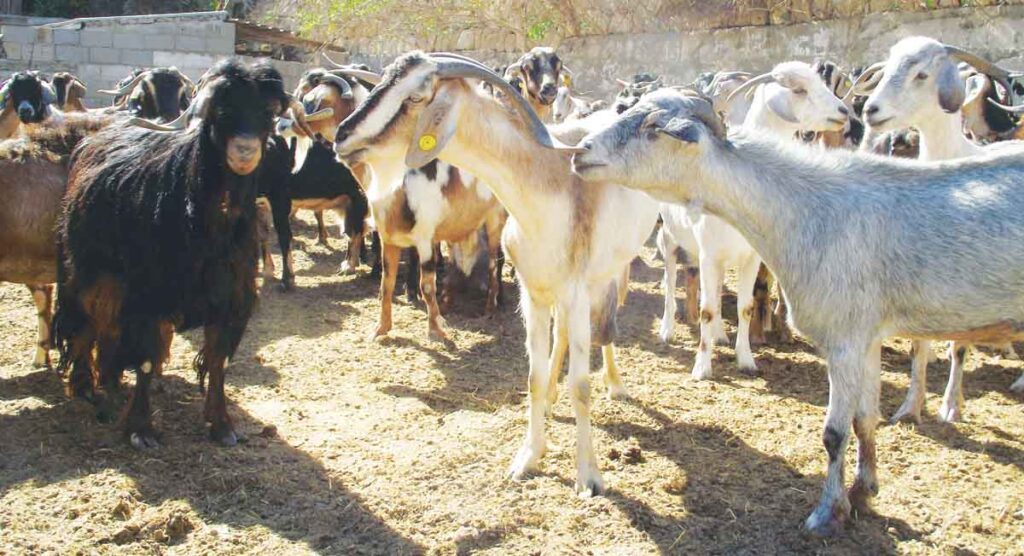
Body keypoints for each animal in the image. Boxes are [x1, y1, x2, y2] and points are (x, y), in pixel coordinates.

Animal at [54, 58, 282, 450]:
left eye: (267, 112)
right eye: (221, 111)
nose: (245, 151)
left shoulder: (231, 298)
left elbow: (218, 362)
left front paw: (222, 425)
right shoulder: (148, 296)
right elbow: (144, 359)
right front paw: (141, 429)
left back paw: (112, 380)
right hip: (87, 273)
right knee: (87, 322)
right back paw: (85, 385)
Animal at [331, 52, 659, 495]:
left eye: (415, 96)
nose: (342, 136)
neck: (549, 185)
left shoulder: (576, 290)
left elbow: (582, 385)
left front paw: (589, 477)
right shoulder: (531, 289)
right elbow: (534, 375)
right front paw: (528, 457)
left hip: (613, 269)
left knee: (607, 322)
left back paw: (616, 384)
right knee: (561, 336)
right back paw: (553, 398)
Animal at [573, 89, 1024, 536]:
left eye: (652, 126)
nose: (580, 152)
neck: (803, 211)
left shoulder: (843, 339)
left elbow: (835, 433)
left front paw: (828, 513)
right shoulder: (868, 336)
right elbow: (866, 419)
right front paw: (865, 490)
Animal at [864, 36, 1024, 419]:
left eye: (921, 74)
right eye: (886, 68)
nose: (871, 110)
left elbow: (959, 347)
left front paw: (950, 406)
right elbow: (917, 347)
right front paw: (910, 407)